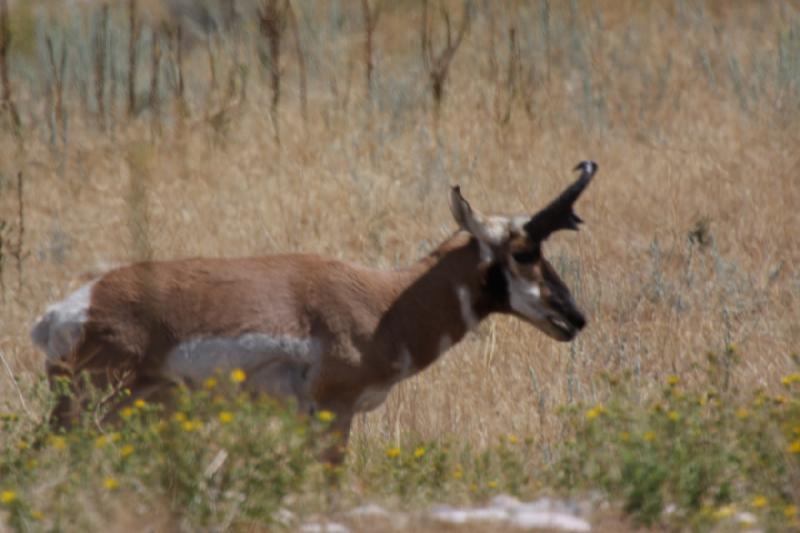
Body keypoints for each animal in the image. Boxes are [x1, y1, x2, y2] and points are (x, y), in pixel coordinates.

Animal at [31, 160, 596, 460]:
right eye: (523, 252)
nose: (575, 318)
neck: (383, 299)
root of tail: (68, 310)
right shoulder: (333, 412)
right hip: (91, 408)